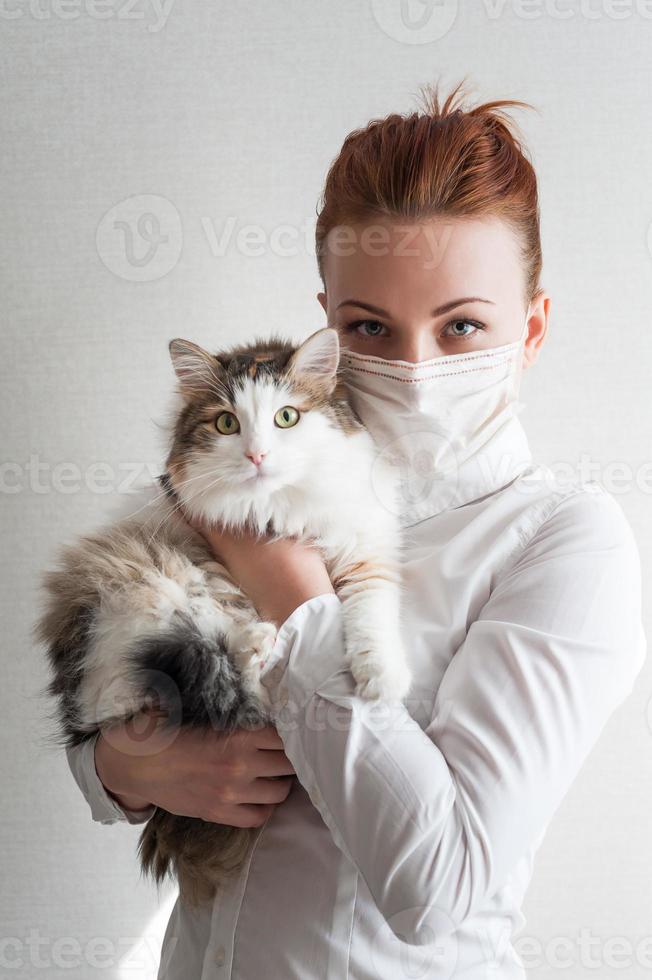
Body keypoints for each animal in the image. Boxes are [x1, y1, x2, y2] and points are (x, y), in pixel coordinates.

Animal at [35, 326, 410, 908]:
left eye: (286, 417)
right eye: (226, 423)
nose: (257, 455)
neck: (282, 509)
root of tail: (80, 713)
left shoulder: (365, 550)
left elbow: (371, 612)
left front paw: (381, 679)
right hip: (142, 583)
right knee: (215, 666)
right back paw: (258, 644)